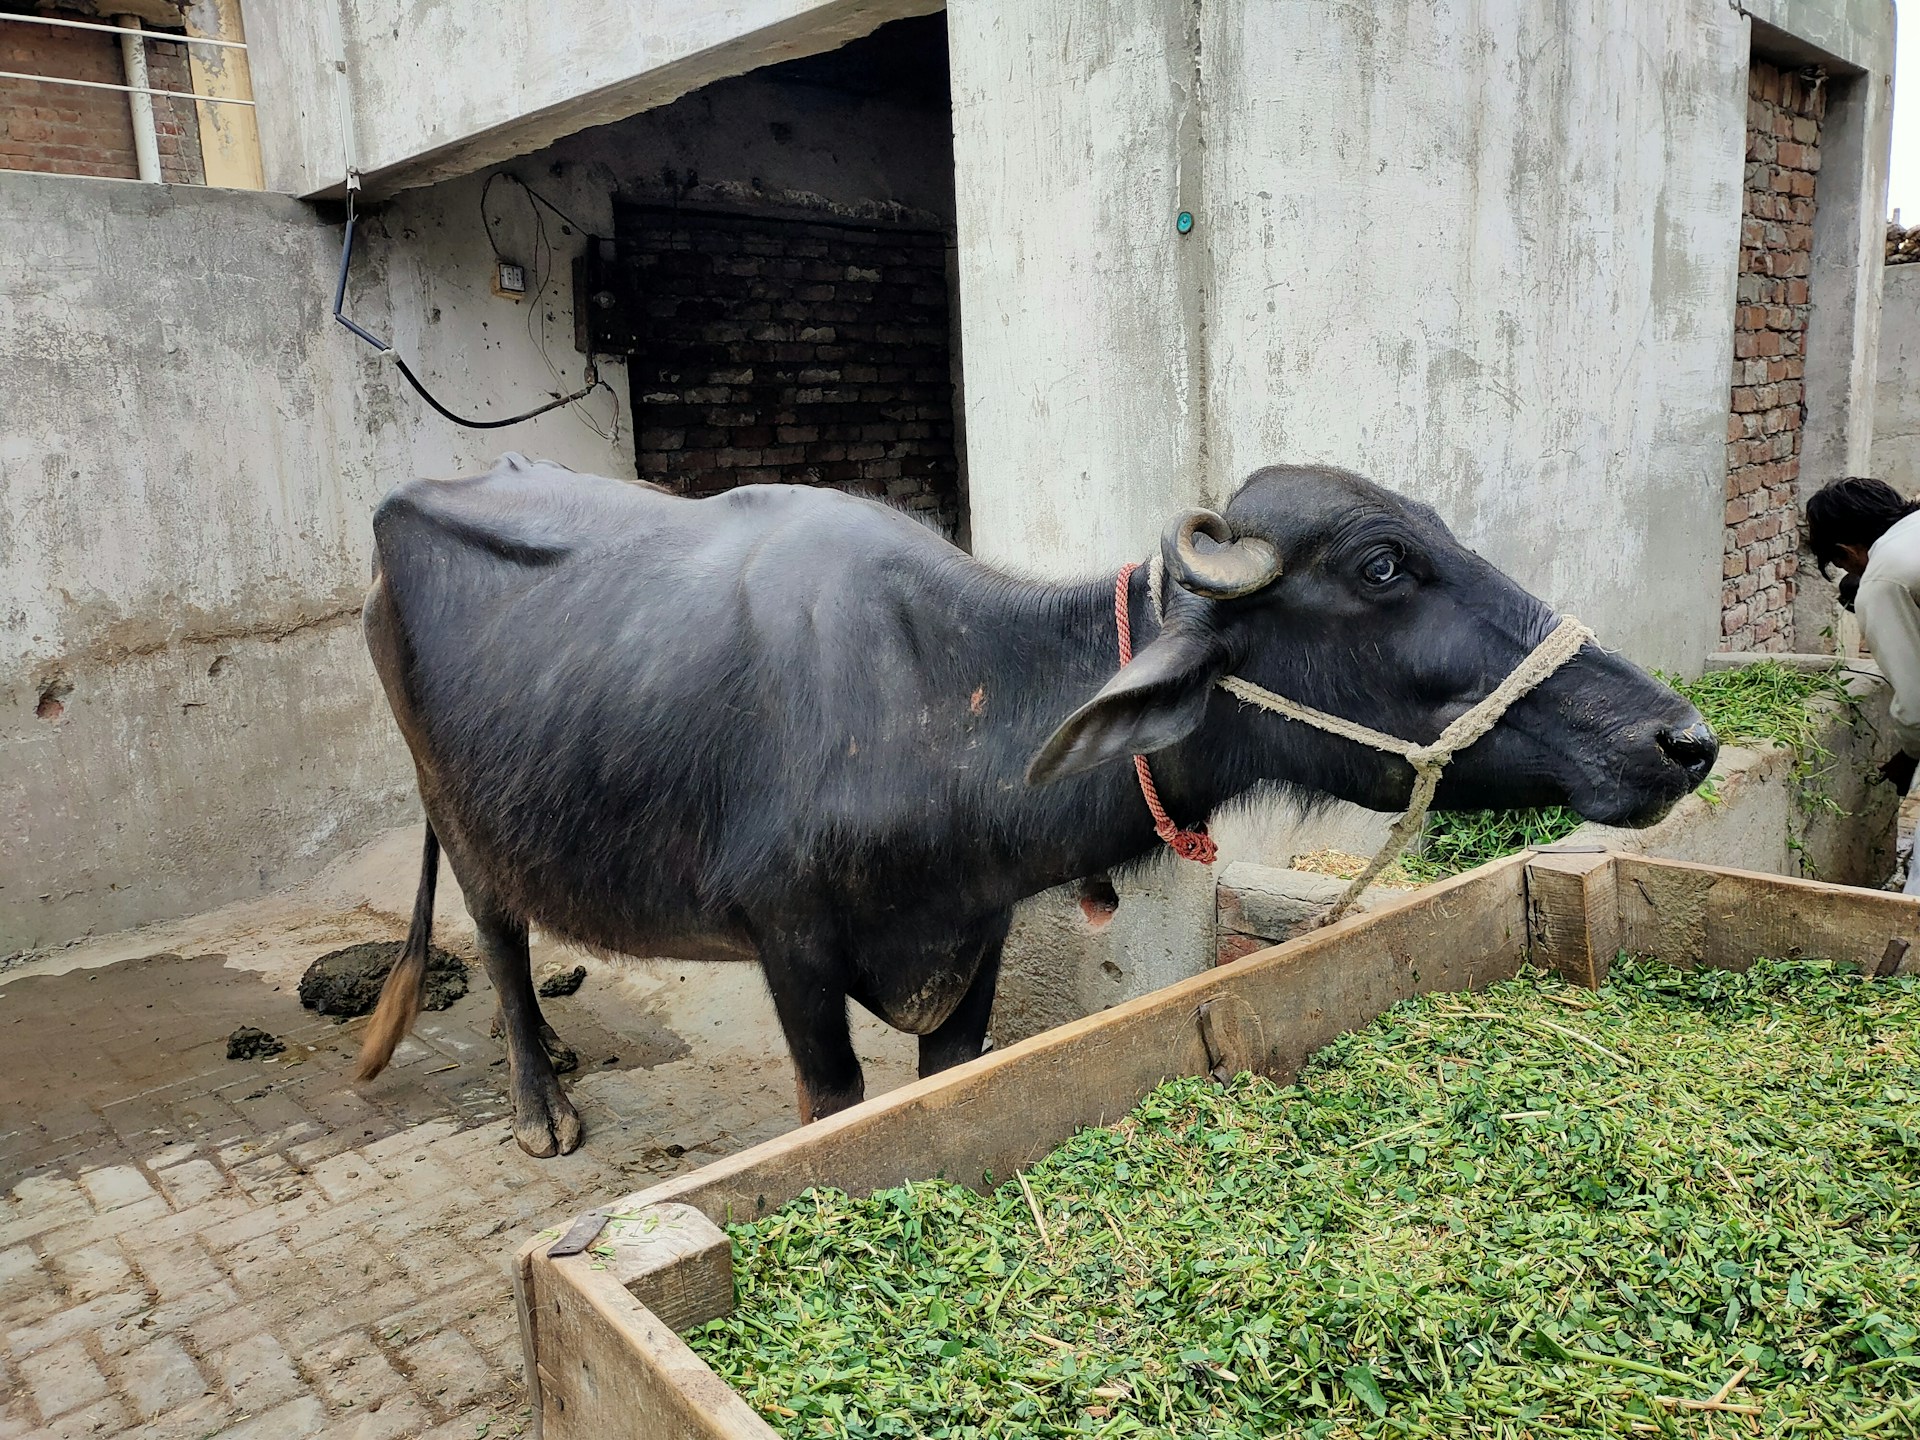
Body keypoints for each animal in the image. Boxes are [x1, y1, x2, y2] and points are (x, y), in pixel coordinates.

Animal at [354, 455, 1715, 1156]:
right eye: (1386, 564)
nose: (1680, 739)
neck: (940, 698)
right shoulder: (791, 950)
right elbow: (832, 1105)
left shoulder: (979, 935)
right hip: (456, 809)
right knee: (499, 940)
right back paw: (540, 1103)